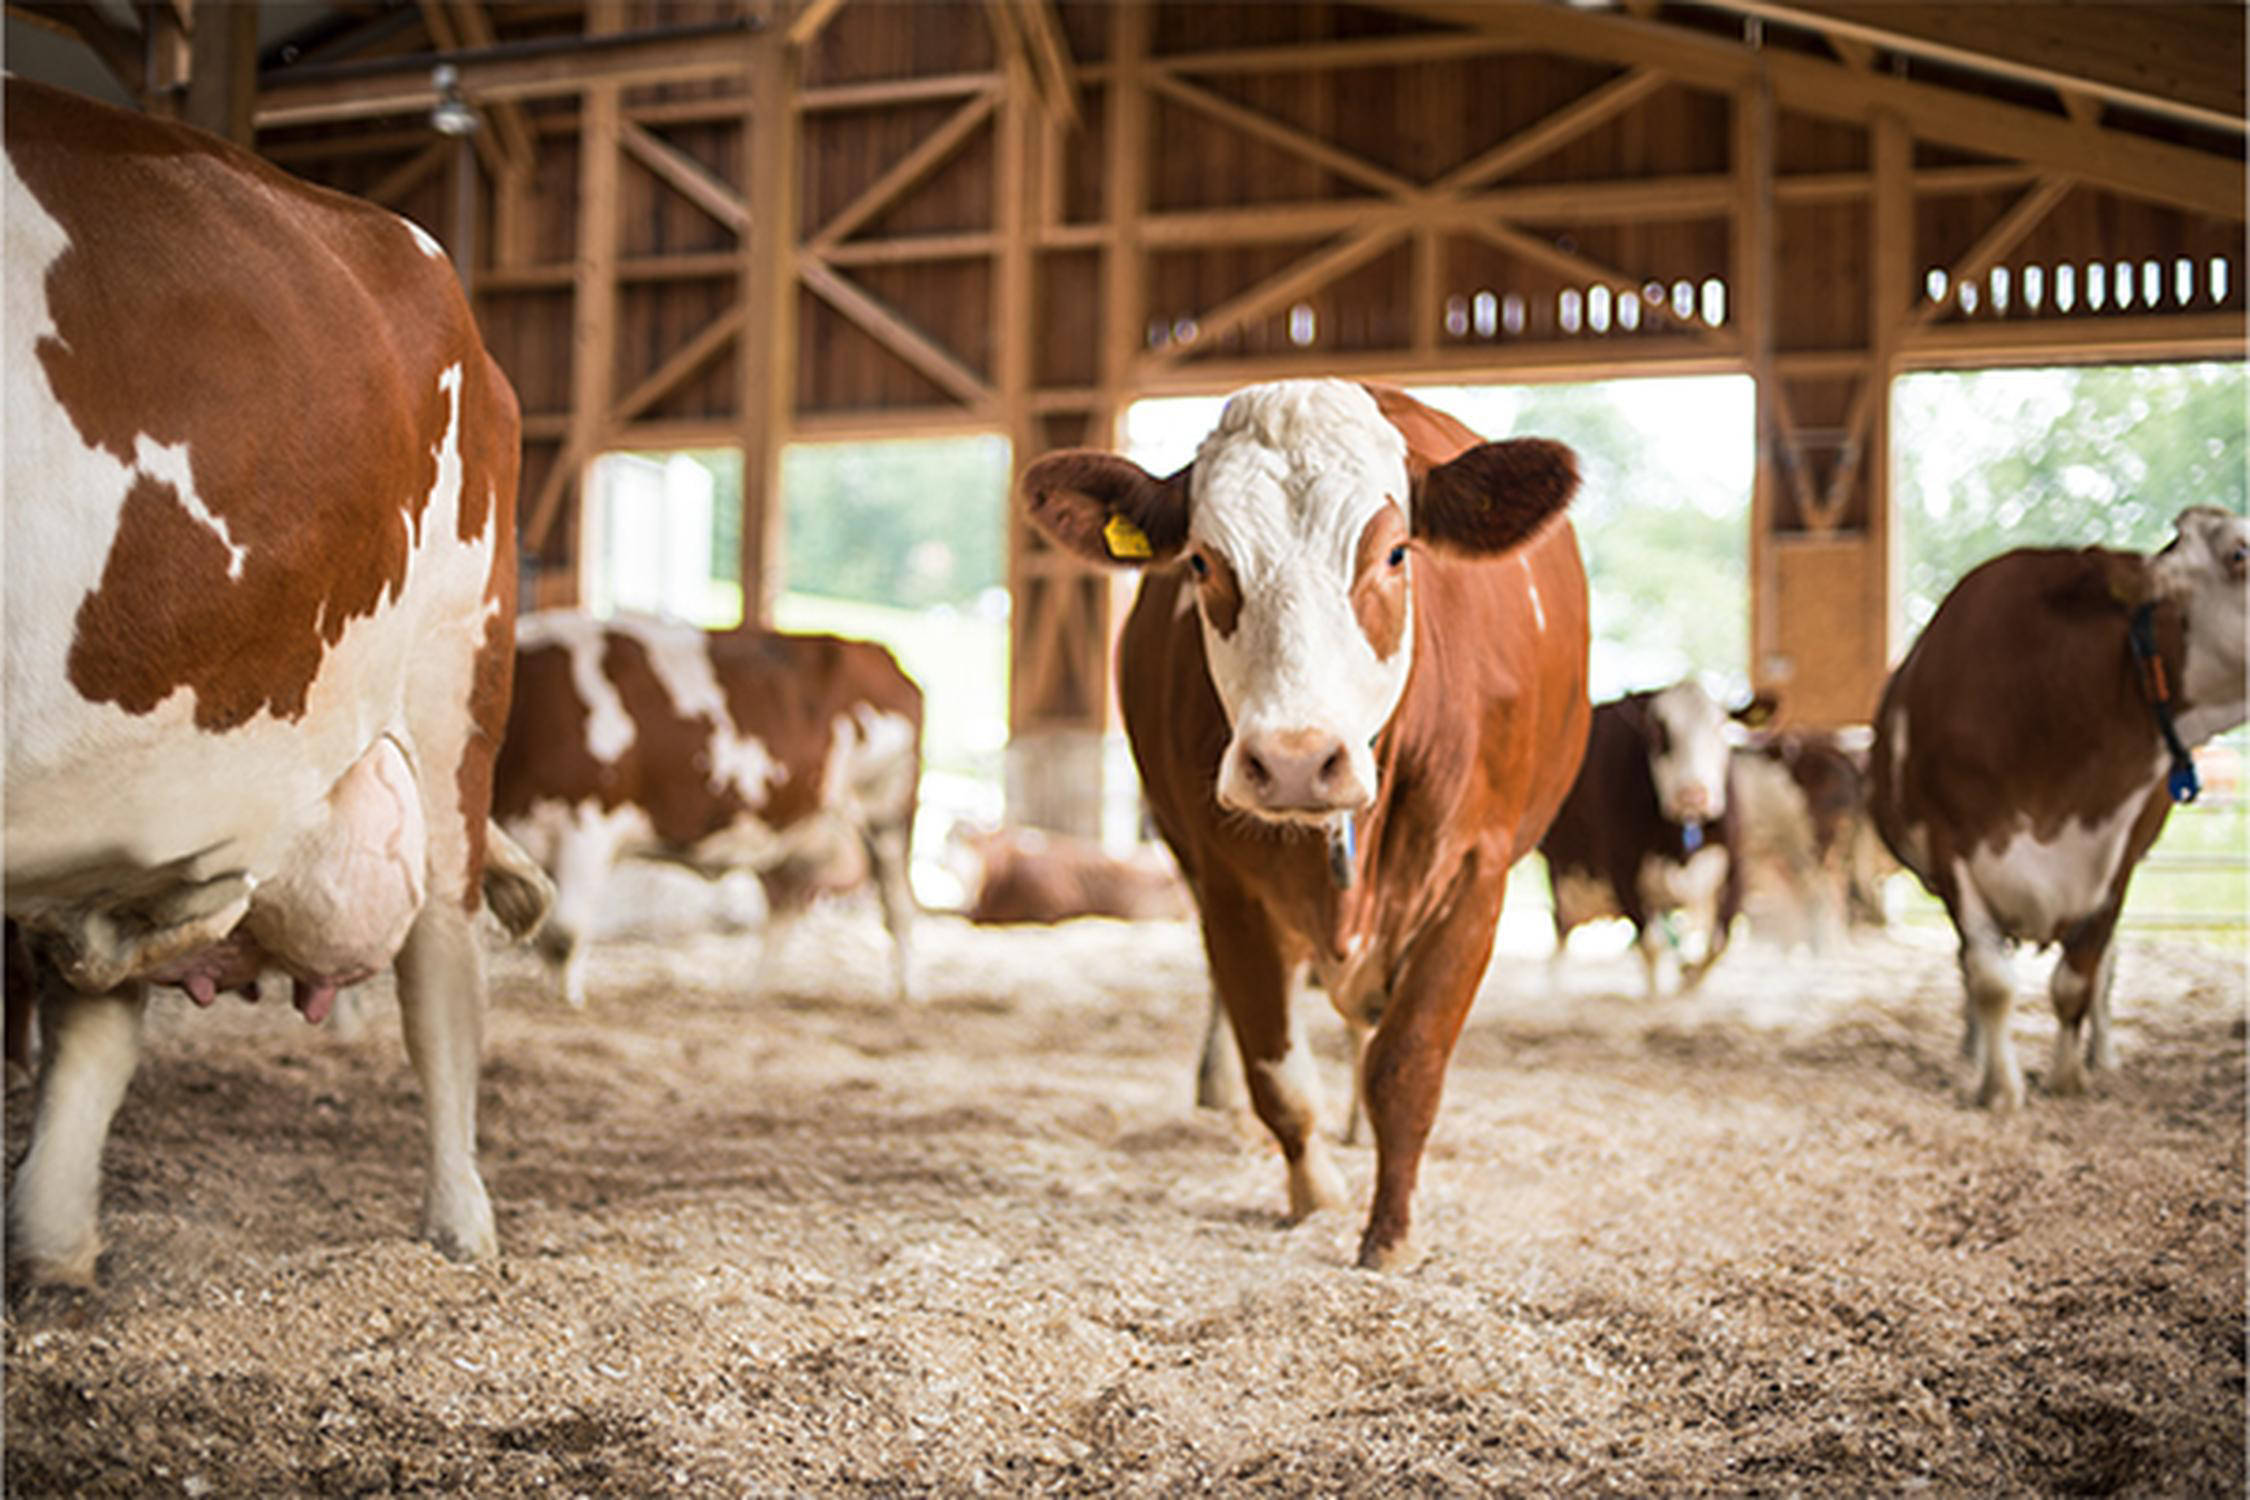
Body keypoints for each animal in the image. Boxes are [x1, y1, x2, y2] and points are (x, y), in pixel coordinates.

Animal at [4, 78, 546, 1285]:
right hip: (150, 772)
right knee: (97, 1003)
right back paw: (51, 1249)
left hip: (454, 694)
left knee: (443, 974)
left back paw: (461, 1230)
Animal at [492, 611, 923, 1007]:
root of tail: (879, 653)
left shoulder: (587, 824)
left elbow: (564, 934)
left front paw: (567, 1003)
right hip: (804, 833)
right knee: (784, 907)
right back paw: (751, 992)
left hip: (887, 815)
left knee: (898, 907)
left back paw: (906, 995)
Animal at [1021, 379, 1589, 1271]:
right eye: (1202, 561)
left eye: (1394, 554)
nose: (1294, 761)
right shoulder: (1228, 888)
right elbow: (1278, 1073)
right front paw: (1314, 1199)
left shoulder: (1477, 876)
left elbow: (1407, 1063)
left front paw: (1389, 1235)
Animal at [1539, 681, 1769, 995]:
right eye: (1658, 735)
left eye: (1721, 728)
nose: (1693, 795)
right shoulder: (1622, 869)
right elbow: (1652, 943)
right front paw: (1656, 997)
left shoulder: (1736, 866)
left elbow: (1719, 940)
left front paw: (1689, 980)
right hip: (1564, 874)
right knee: (1560, 931)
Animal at [1868, 507, 2248, 1110]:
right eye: (2239, 554)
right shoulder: (1955, 854)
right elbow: (1991, 982)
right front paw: (2000, 1090)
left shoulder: (2113, 866)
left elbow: (2078, 981)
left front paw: (2070, 1078)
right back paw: (1972, 1057)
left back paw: (2103, 1055)